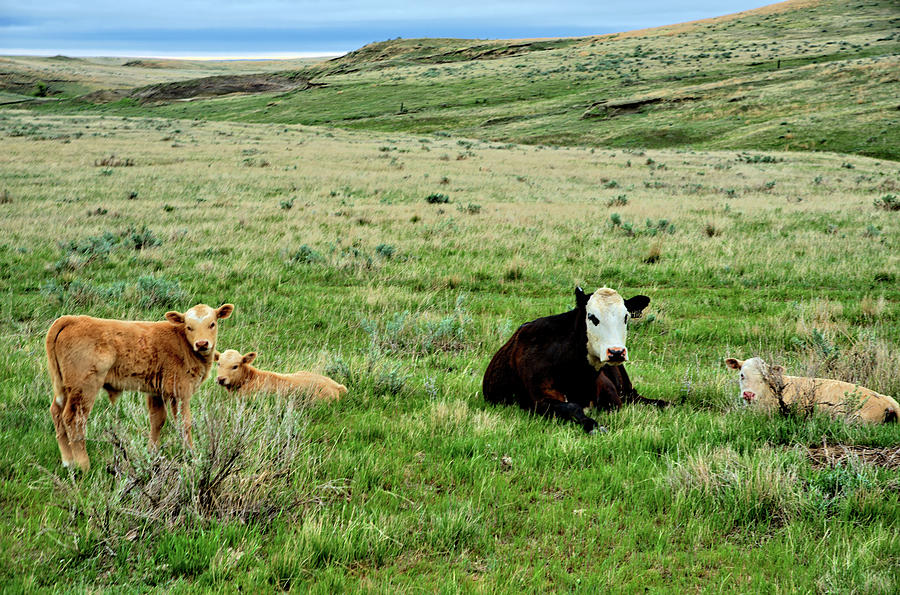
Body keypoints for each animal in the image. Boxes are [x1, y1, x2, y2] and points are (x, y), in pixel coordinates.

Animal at [47, 304, 234, 472]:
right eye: (189, 326)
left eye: (212, 324)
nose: (202, 344)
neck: (181, 341)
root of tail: (73, 319)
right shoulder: (180, 392)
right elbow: (184, 424)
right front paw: (192, 455)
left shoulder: (156, 393)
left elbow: (157, 421)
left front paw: (153, 453)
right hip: (85, 388)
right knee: (74, 419)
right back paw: (83, 466)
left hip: (64, 388)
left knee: (57, 413)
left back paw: (68, 462)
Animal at [482, 286, 664, 434]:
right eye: (592, 317)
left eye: (626, 317)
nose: (616, 352)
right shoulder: (538, 400)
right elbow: (572, 407)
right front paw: (595, 426)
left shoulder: (612, 395)